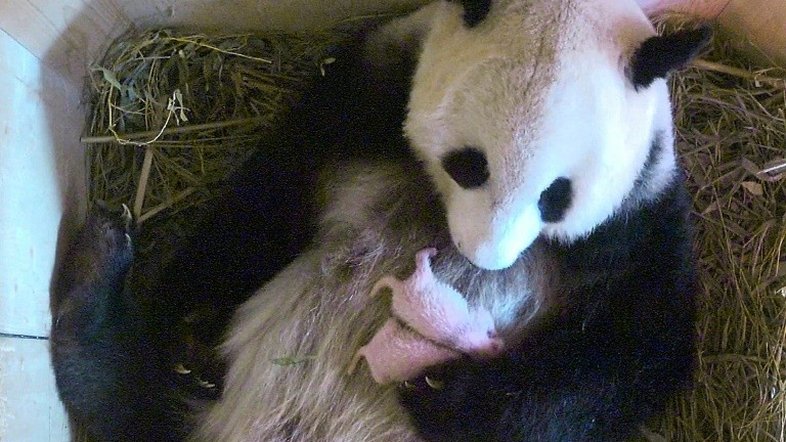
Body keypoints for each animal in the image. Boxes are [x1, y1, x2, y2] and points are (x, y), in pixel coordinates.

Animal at [50, 0, 710, 440]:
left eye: (556, 196)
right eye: (470, 165)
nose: (482, 257)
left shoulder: (639, 224)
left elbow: (624, 354)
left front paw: (440, 391)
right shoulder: (371, 89)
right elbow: (269, 196)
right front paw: (187, 318)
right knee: (131, 400)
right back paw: (96, 278)